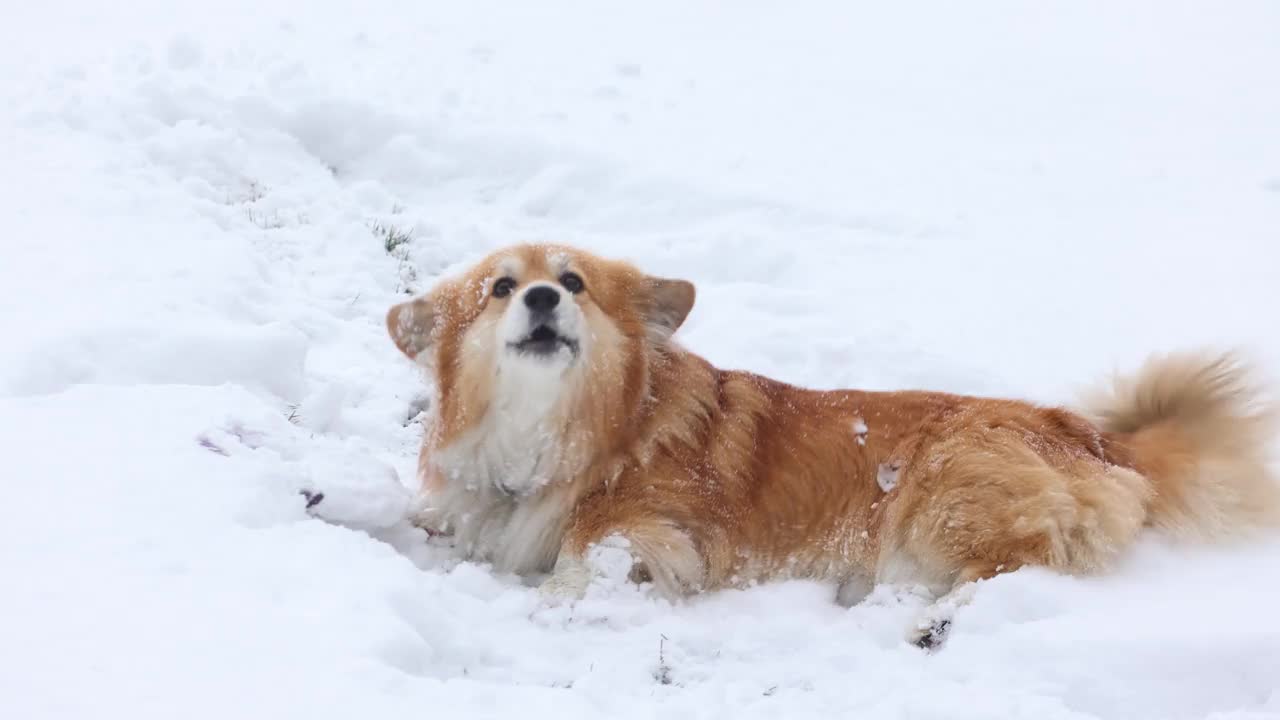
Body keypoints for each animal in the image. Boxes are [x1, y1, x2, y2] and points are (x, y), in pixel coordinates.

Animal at [386, 243, 1280, 648]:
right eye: (499, 288)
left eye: (572, 283)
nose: (540, 297)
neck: (564, 430)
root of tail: (1097, 440)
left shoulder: (662, 522)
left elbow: (587, 541)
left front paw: (557, 601)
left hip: (945, 486)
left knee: (1023, 560)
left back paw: (930, 623)